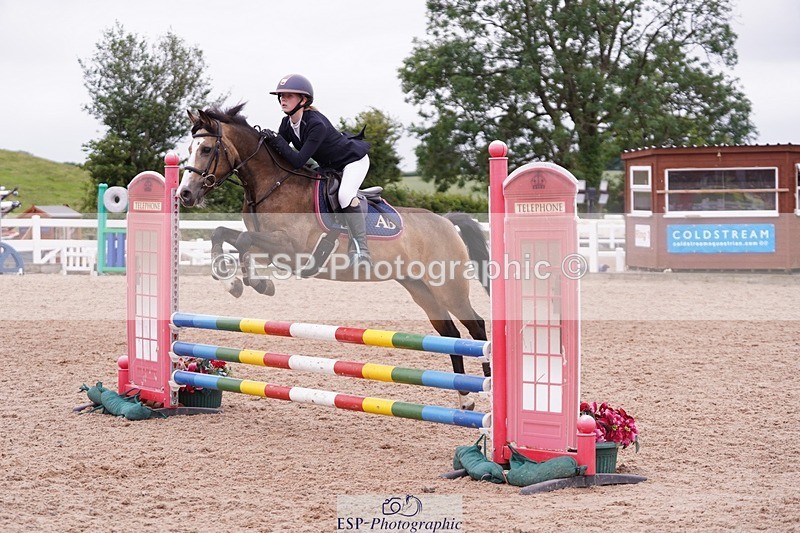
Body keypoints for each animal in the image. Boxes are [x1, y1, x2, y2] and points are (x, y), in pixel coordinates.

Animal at [176, 104, 490, 409]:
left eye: (206, 149)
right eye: (189, 148)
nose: (185, 194)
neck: (273, 185)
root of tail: (446, 221)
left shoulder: (290, 248)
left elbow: (241, 241)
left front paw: (257, 284)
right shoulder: (270, 249)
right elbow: (223, 234)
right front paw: (234, 281)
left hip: (448, 287)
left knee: (476, 325)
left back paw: (488, 386)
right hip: (420, 288)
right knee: (450, 333)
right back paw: (465, 398)